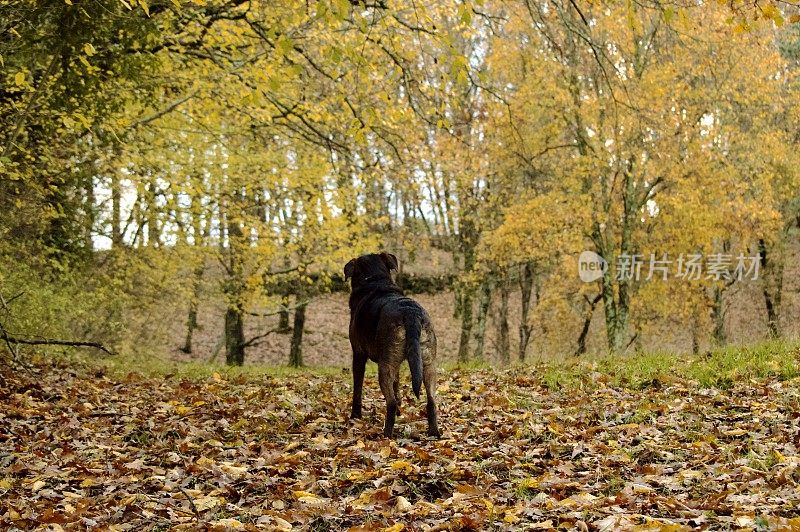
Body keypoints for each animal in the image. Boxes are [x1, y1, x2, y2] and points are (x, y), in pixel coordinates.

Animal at [346, 251, 444, 438]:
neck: (375, 281)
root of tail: (410, 312)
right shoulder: (397, 363)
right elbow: (397, 385)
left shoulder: (358, 354)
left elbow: (357, 388)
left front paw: (355, 415)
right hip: (427, 362)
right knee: (432, 401)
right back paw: (434, 431)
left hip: (385, 366)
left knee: (390, 402)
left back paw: (386, 434)